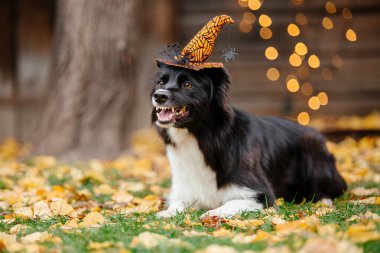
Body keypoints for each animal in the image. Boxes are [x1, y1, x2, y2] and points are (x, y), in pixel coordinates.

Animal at [151, 61, 348, 217]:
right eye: (161, 82)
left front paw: (212, 213)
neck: (203, 137)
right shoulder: (183, 190)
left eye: (187, 84)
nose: (159, 95)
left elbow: (229, 203)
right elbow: (177, 203)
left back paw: (323, 201)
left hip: (310, 148)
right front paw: (167, 212)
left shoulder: (261, 195)